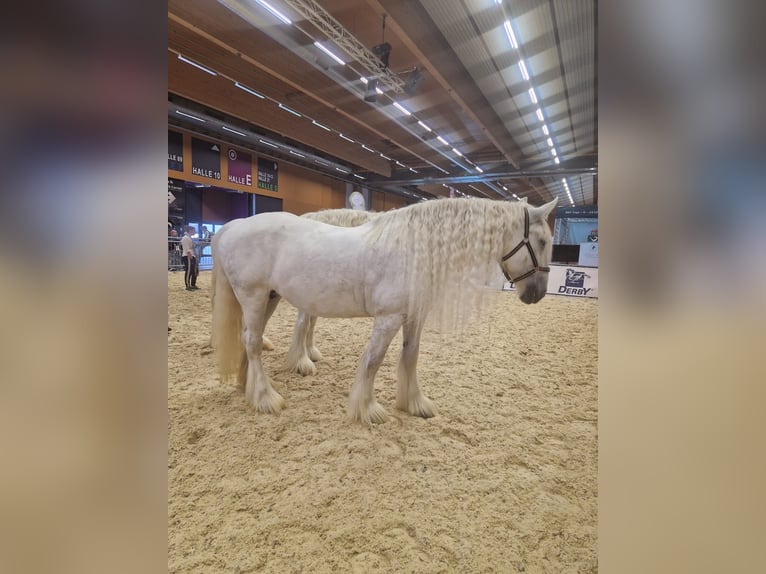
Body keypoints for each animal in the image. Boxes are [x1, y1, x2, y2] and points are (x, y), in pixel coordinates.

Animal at [211, 197, 557, 424]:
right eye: (541, 241)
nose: (537, 293)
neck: (413, 249)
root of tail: (232, 227)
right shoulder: (388, 318)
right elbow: (373, 361)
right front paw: (367, 409)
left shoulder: (414, 317)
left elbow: (410, 356)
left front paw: (414, 403)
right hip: (254, 296)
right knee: (253, 342)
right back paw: (265, 398)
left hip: (270, 298)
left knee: (249, 339)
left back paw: (246, 386)